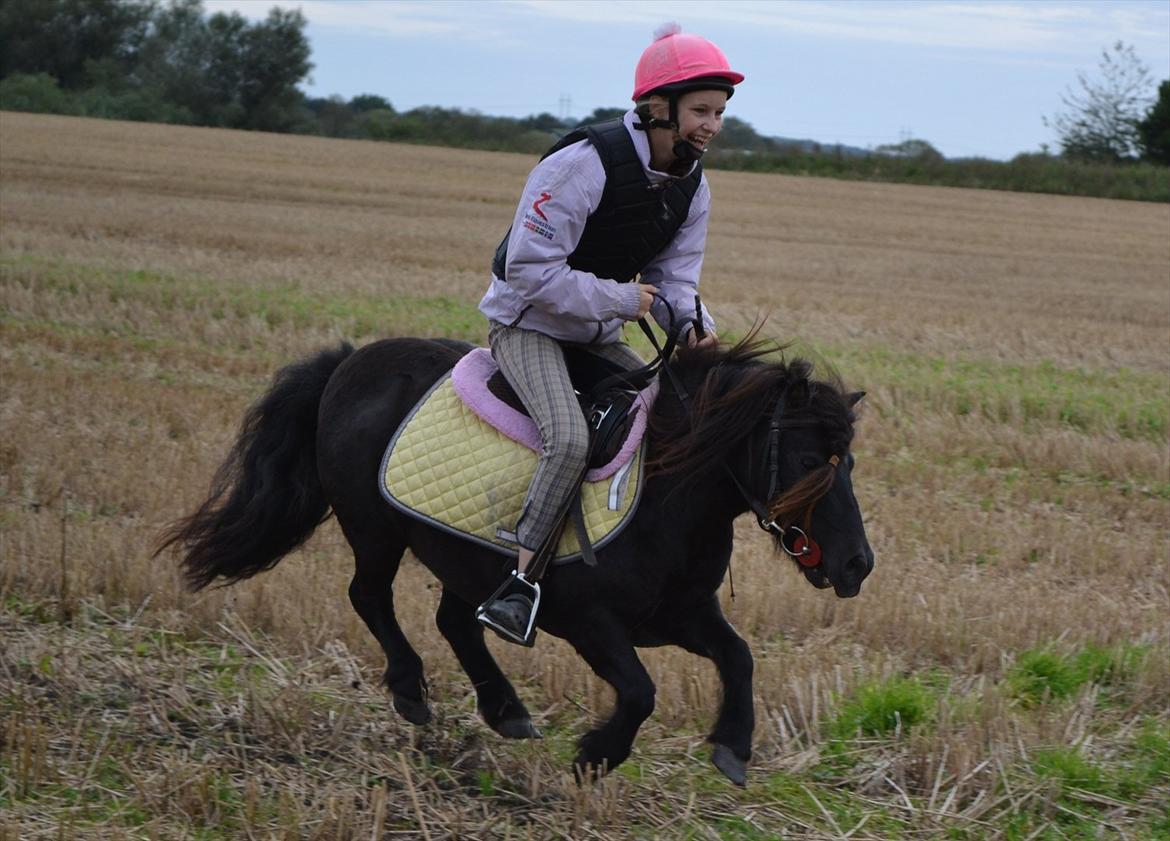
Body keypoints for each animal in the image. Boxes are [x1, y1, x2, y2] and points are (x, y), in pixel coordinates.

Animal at [158, 332, 873, 785]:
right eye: (809, 460)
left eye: (849, 463)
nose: (857, 566)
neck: (668, 488)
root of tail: (348, 362)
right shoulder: (589, 622)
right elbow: (640, 691)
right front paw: (595, 756)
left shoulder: (681, 614)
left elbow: (739, 657)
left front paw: (732, 746)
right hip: (375, 529)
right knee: (370, 597)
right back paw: (412, 691)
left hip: (463, 559)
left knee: (453, 621)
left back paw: (504, 709)